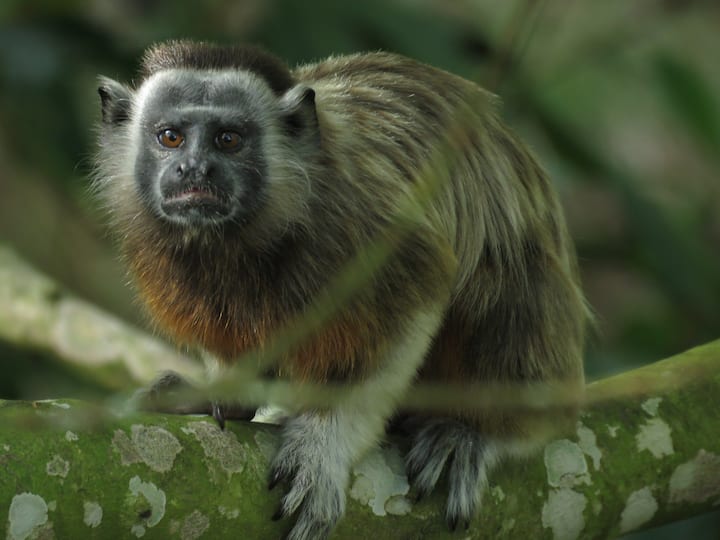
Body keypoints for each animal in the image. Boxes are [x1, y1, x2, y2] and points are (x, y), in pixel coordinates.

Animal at [94, 40, 587, 540]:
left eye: (228, 140)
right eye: (170, 137)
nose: (194, 169)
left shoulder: (365, 220)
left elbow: (418, 296)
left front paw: (323, 447)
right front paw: (231, 394)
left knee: (507, 275)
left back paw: (477, 432)